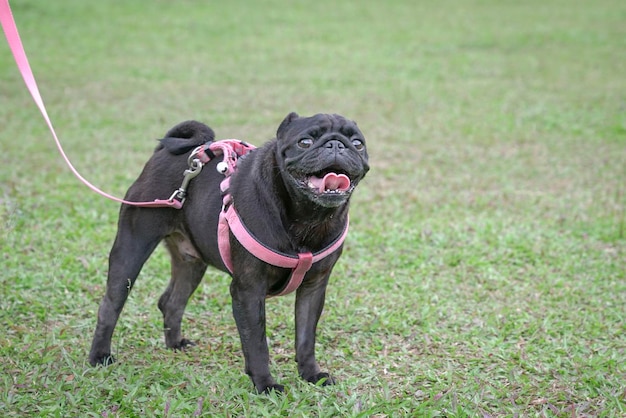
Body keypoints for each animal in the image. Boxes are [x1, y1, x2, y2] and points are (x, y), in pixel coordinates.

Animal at [90, 110, 368, 392]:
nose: (336, 145)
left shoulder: (313, 289)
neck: (308, 218)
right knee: (111, 305)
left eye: (358, 144)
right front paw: (265, 385)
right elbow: (256, 342)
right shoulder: (249, 290)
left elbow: (305, 338)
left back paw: (175, 344)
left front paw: (311, 374)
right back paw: (100, 357)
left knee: (172, 302)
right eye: (305, 142)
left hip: (191, 262)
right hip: (132, 248)